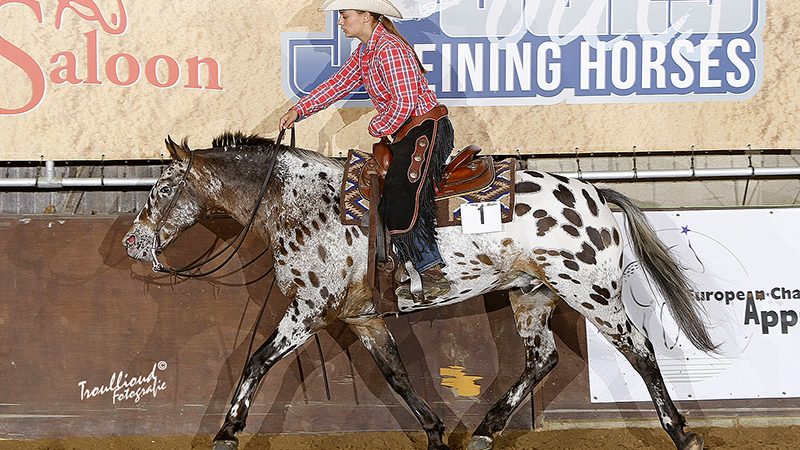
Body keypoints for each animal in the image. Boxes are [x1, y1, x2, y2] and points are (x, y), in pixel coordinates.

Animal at [123, 133, 712, 450]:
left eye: (164, 186)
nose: (132, 241)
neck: (298, 203)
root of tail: (595, 193)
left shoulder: (308, 310)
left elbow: (256, 361)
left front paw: (227, 430)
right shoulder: (362, 317)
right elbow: (397, 374)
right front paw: (433, 431)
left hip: (590, 293)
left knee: (641, 350)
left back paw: (683, 432)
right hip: (531, 293)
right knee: (542, 359)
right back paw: (485, 430)